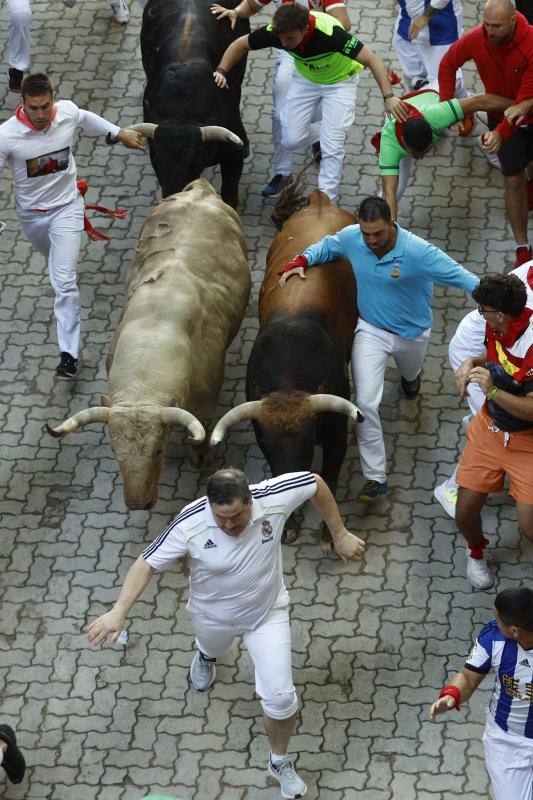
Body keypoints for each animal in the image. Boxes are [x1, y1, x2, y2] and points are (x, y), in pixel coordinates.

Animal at [46, 178, 250, 510]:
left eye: (157, 450)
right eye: (116, 452)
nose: (138, 503)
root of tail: (201, 189)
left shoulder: (206, 400)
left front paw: (201, 454)